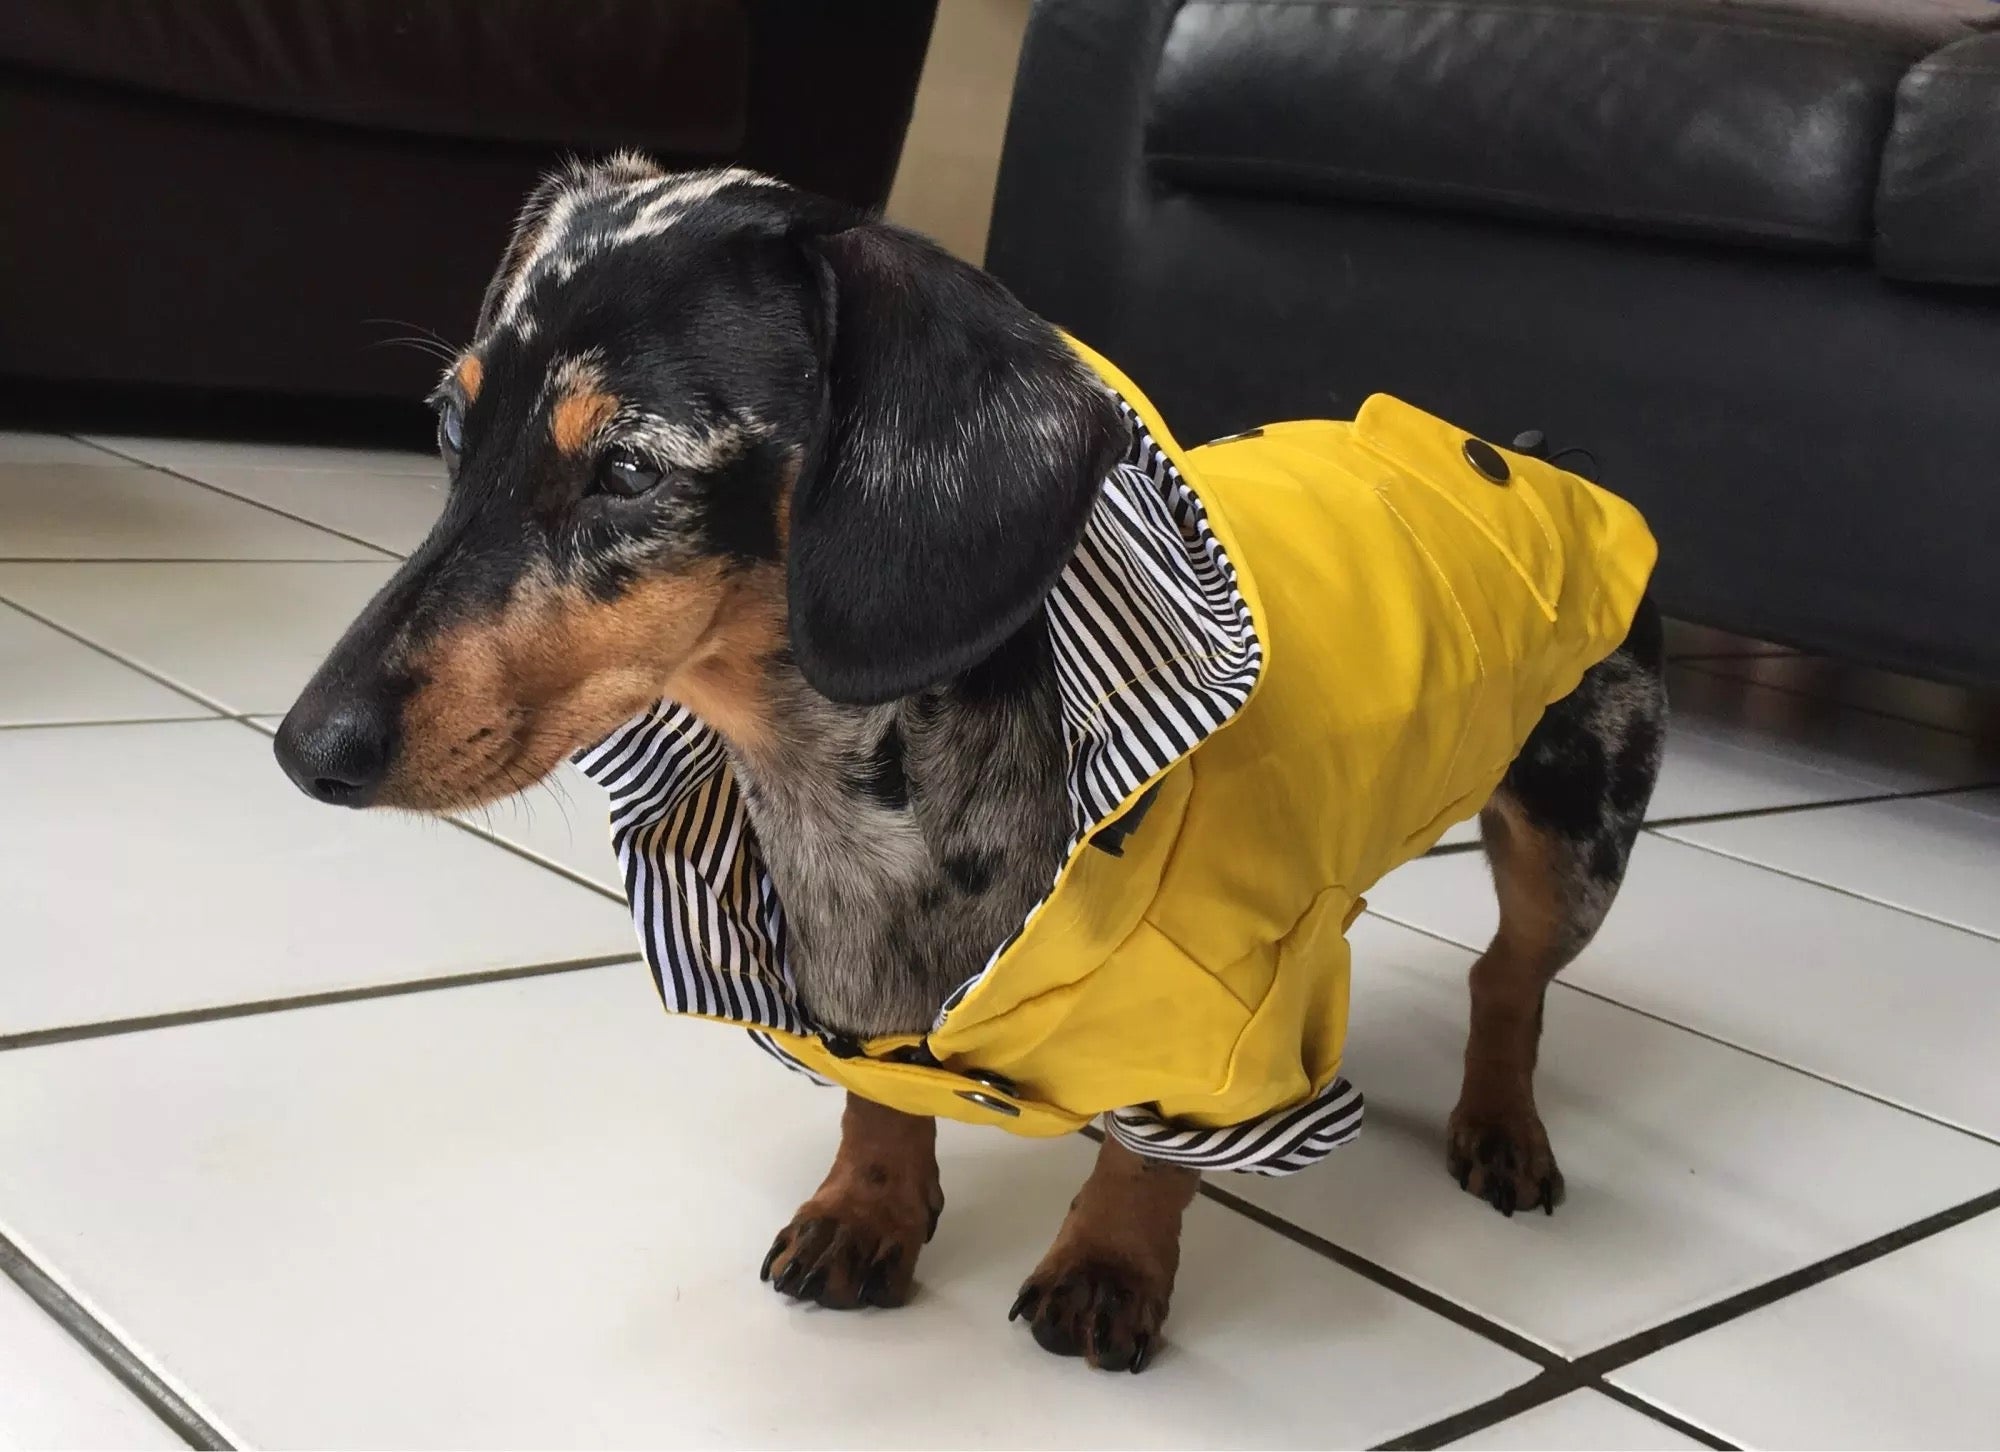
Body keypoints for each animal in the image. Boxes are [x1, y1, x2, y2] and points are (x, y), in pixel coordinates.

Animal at [274, 156, 1664, 1376]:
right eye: (449, 430)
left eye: (625, 467)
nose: (303, 749)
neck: (839, 801)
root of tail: (1533, 453)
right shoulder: (851, 1002)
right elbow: (875, 1101)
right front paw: (868, 1211)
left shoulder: (1225, 1041)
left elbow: (1149, 1159)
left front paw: (1106, 1266)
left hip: (1575, 839)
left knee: (1507, 978)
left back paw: (1501, 1127)